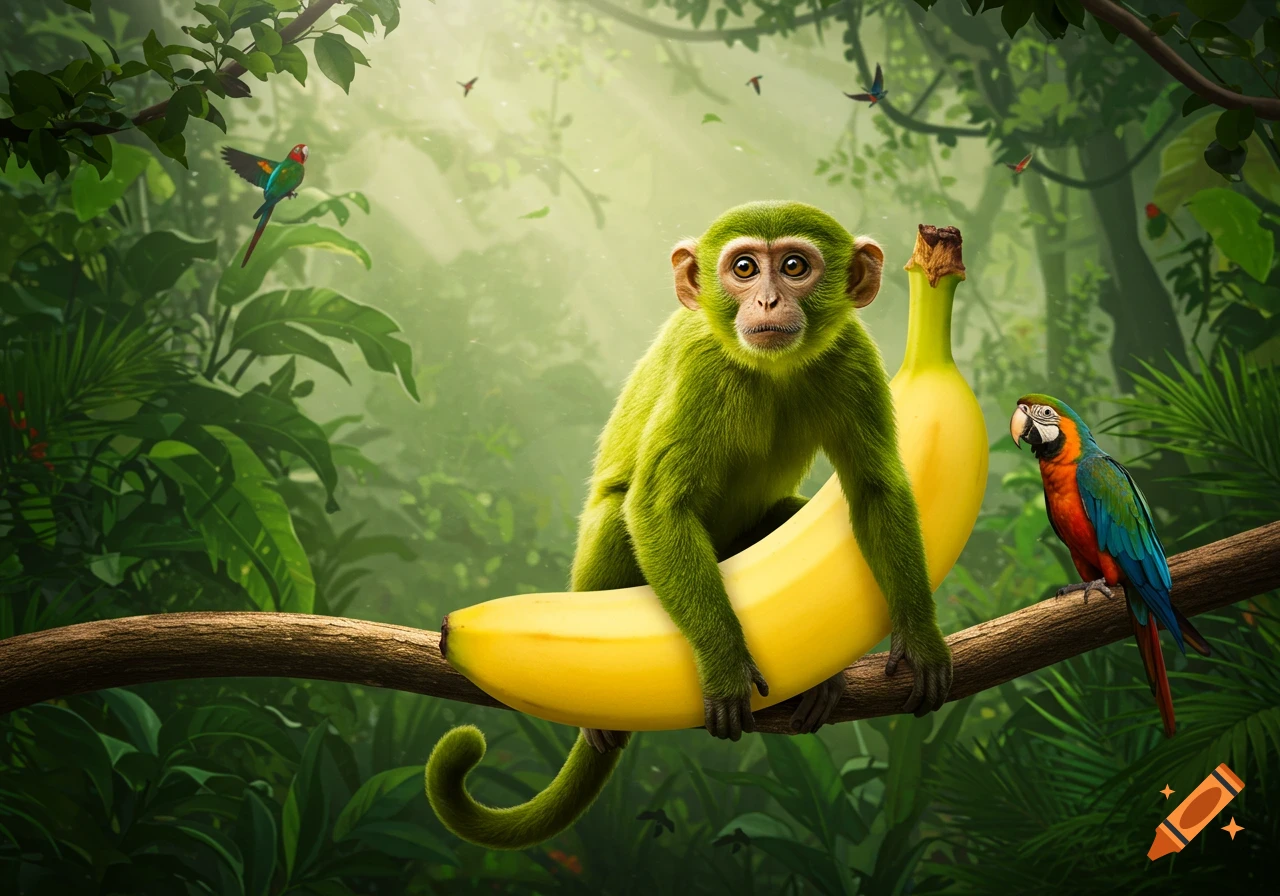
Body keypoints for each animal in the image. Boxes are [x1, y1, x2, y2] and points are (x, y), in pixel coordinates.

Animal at [425, 200, 953, 850]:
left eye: (795, 266)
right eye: (745, 268)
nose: (768, 301)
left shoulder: (852, 354)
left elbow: (876, 492)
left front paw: (919, 635)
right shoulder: (703, 367)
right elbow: (656, 505)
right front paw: (724, 665)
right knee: (617, 512)